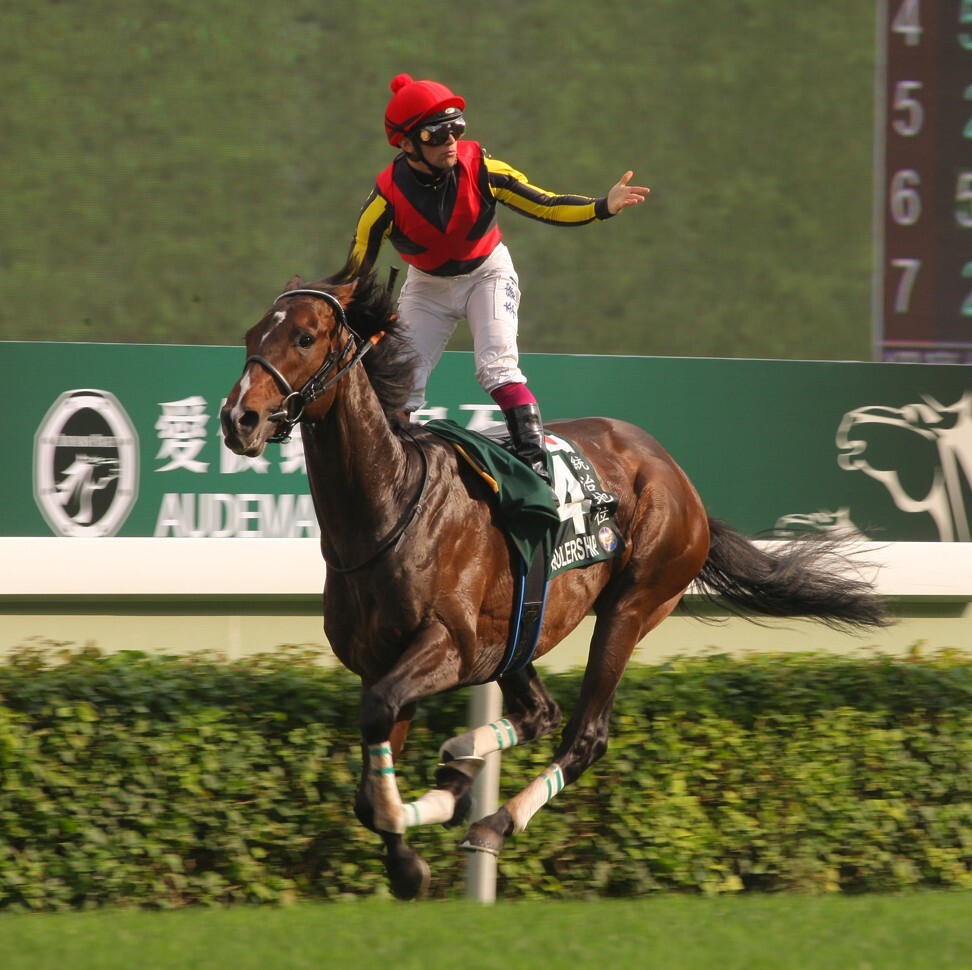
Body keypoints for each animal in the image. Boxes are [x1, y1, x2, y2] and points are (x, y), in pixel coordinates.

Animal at [220, 264, 888, 900]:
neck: (387, 505)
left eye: (304, 338)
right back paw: (459, 772)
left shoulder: (446, 645)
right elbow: (370, 769)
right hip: (520, 629)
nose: (237, 418)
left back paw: (493, 820)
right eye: (252, 336)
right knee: (541, 711)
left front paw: (411, 851)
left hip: (632, 606)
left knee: (585, 733)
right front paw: (410, 850)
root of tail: (679, 478)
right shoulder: (382, 661)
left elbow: (380, 718)